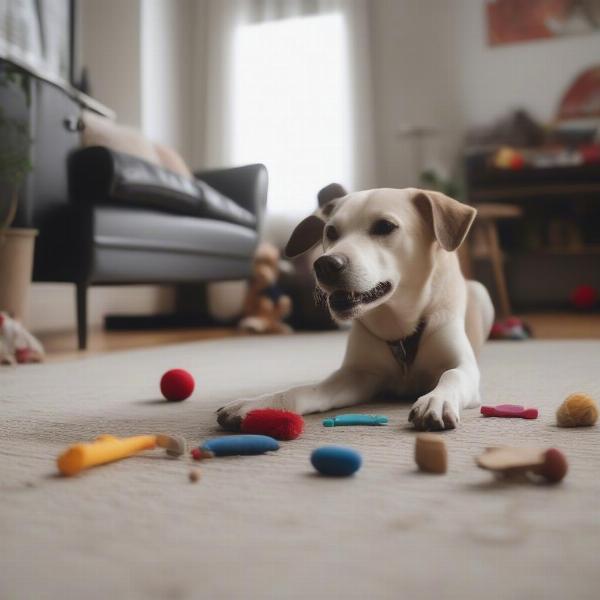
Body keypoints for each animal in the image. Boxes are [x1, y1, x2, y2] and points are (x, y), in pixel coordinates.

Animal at [218, 188, 494, 432]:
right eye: (330, 231)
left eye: (384, 226)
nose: (325, 264)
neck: (398, 323)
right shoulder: (359, 375)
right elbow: (304, 390)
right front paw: (258, 404)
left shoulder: (462, 366)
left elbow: (452, 375)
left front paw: (436, 400)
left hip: (482, 293)